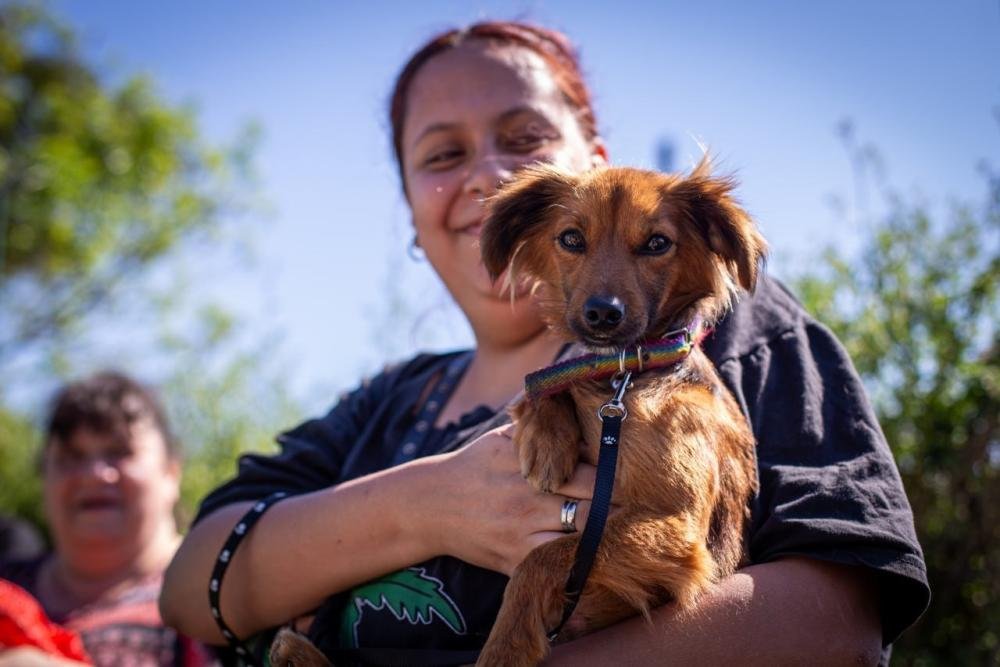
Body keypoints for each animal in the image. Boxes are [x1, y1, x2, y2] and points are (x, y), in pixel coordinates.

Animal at [476, 162, 764, 667]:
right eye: (571, 238)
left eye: (657, 243)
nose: (602, 314)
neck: (625, 375)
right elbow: (549, 383)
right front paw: (546, 443)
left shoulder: (676, 527)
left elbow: (548, 556)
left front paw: (504, 647)